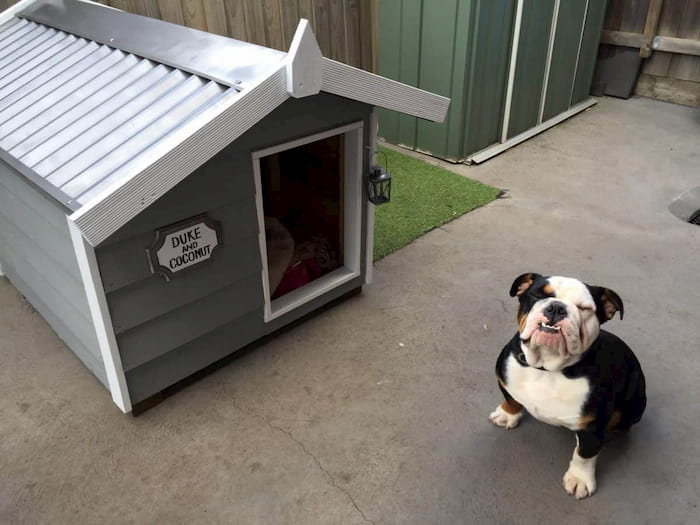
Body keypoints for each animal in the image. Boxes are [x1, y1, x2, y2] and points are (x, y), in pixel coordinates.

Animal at [486, 274, 644, 500]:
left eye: (584, 308)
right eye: (537, 295)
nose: (556, 308)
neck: (547, 368)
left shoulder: (592, 426)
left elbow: (584, 455)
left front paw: (580, 479)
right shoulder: (504, 378)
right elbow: (511, 399)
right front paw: (507, 414)